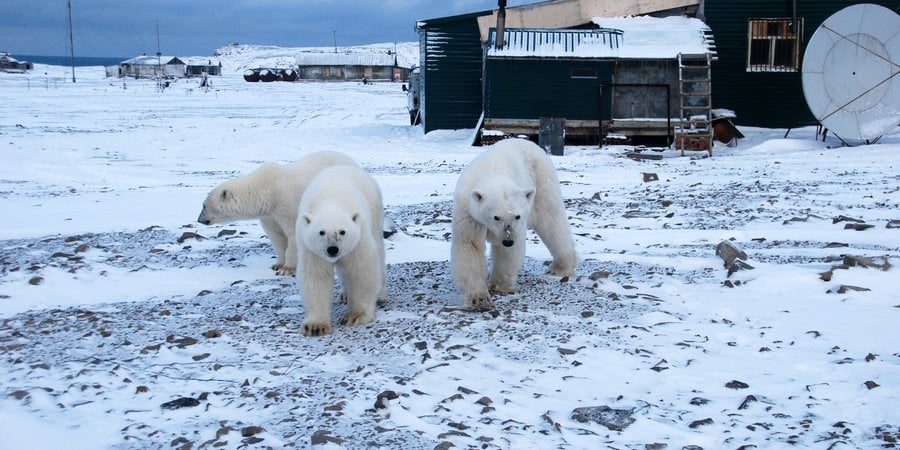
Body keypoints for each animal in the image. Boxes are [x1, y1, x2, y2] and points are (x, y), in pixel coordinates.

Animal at [197, 151, 357, 276]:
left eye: (204, 206)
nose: (199, 220)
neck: (268, 190)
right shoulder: (269, 215)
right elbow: (276, 236)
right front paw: (277, 264)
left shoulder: (288, 203)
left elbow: (292, 233)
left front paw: (287, 269)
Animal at [296, 164, 385, 336]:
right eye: (321, 232)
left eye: (342, 231)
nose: (332, 249)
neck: (330, 202)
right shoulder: (312, 249)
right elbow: (316, 276)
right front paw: (315, 326)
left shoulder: (358, 239)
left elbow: (362, 270)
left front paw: (355, 316)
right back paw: (344, 294)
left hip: (375, 212)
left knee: (379, 251)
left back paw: (380, 294)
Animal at [451, 138, 577, 310]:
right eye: (496, 217)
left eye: (517, 216)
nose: (508, 241)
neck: (492, 173)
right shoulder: (469, 213)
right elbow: (470, 245)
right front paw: (479, 299)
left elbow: (507, 253)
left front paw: (499, 286)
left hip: (542, 183)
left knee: (551, 223)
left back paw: (560, 268)